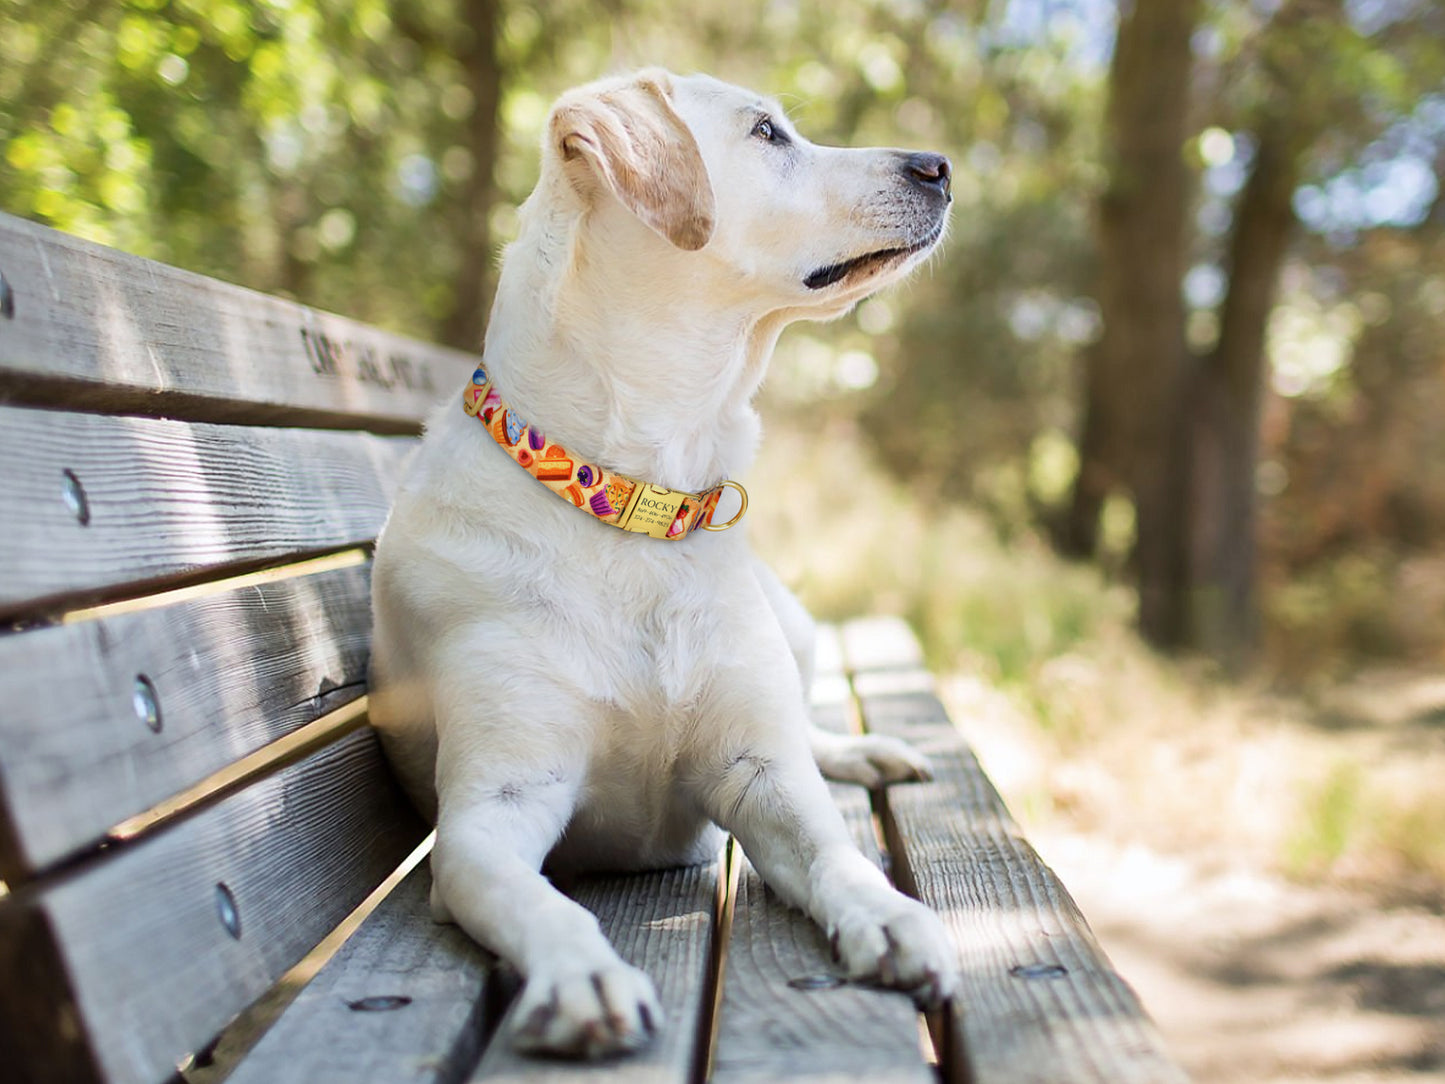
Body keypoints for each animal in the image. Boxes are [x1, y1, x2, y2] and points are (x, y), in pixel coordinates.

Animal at [369, 70, 959, 1063]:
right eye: (766, 133)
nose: (940, 165)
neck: (633, 496)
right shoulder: (489, 813)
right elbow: (544, 903)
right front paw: (584, 976)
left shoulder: (759, 771)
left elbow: (833, 850)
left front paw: (890, 917)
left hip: (795, 629)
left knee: (812, 733)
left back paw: (866, 751)